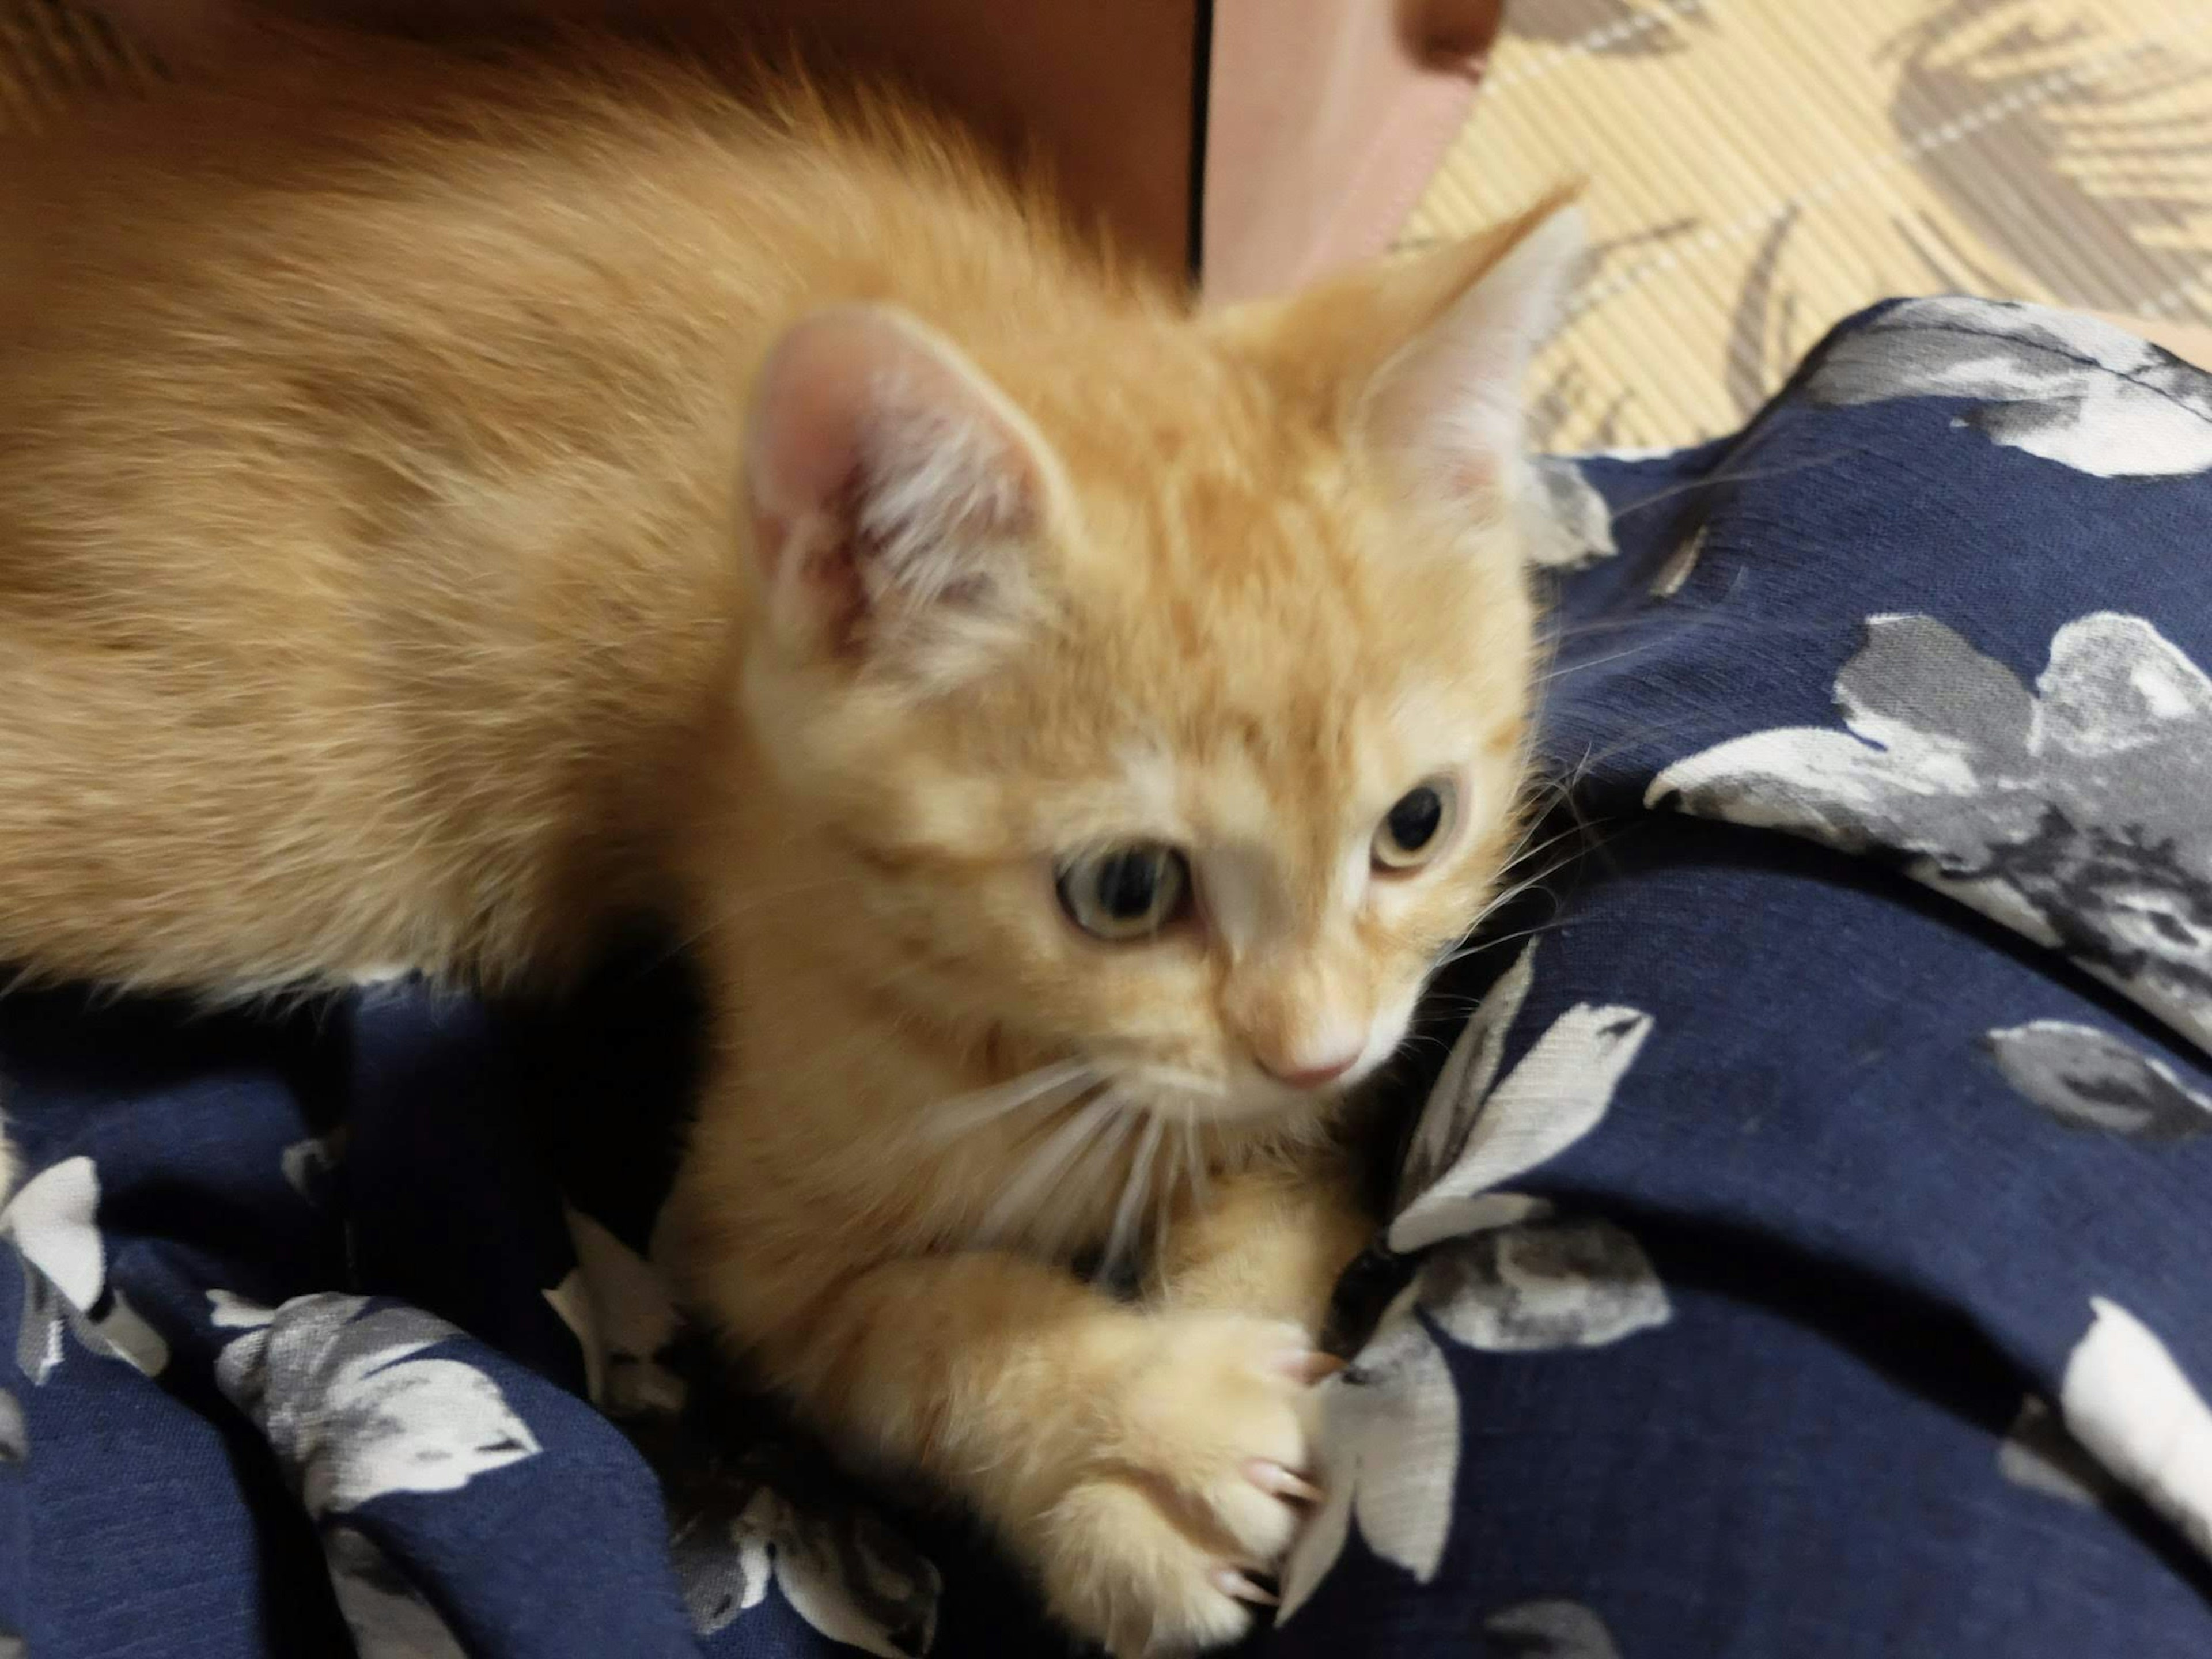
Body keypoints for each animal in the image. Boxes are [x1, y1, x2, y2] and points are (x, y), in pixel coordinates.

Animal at [4, 29, 1592, 1659]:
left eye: (1415, 825)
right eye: (1124, 890)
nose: (1314, 1048)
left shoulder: (1325, 1089)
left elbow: (1270, 1215)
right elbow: (940, 1324)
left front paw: (1189, 1398)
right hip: (265, 820)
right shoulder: (742, 1240)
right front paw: (1138, 1448)